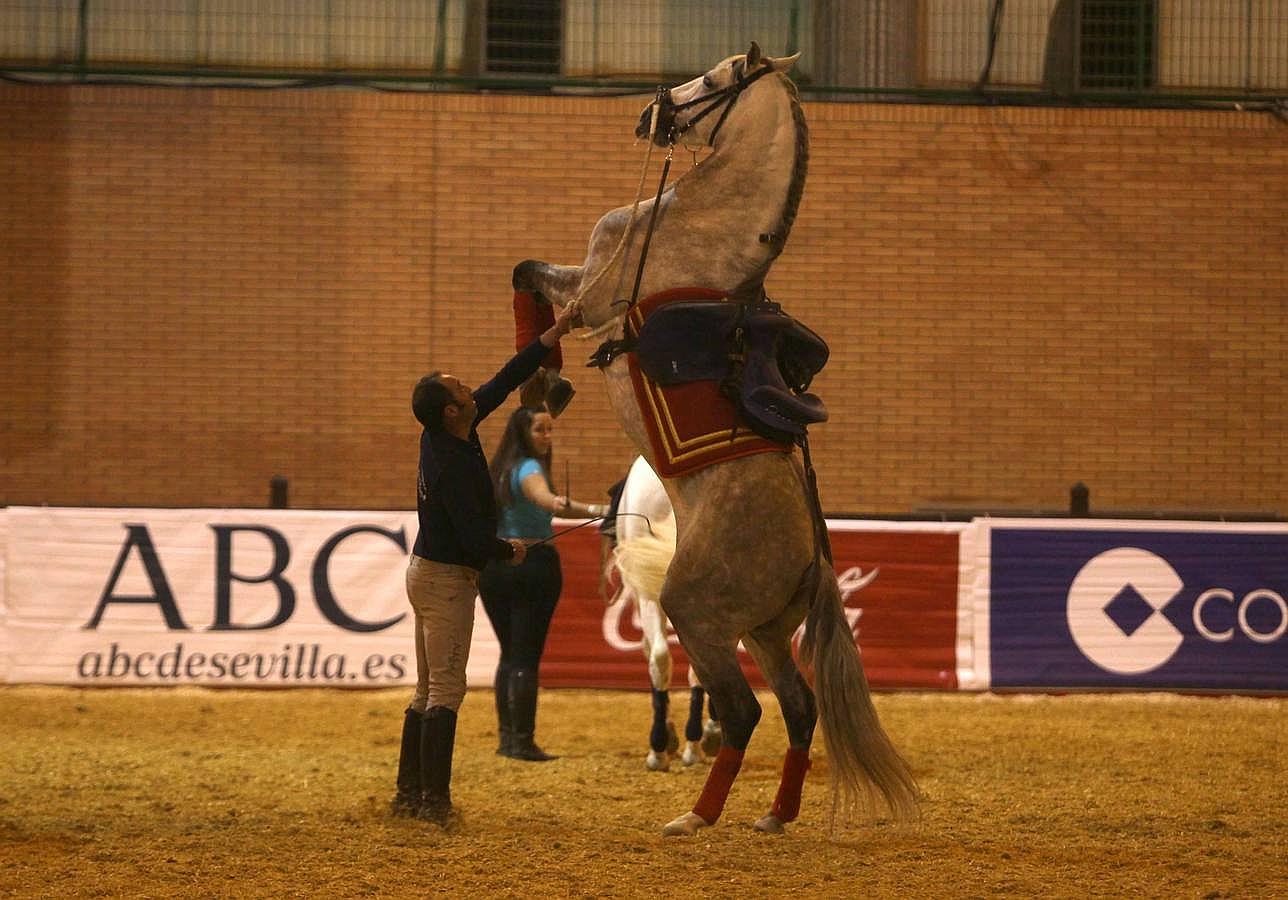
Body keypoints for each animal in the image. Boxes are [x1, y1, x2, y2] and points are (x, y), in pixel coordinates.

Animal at [512, 40, 917, 839]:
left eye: (716, 76)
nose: (651, 113)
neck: (702, 229)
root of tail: (814, 560)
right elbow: (529, 276)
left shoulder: (590, 291)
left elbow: (534, 281)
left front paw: (543, 366)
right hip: (762, 631)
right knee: (798, 707)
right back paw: (774, 813)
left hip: (698, 614)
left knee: (743, 710)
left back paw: (697, 815)